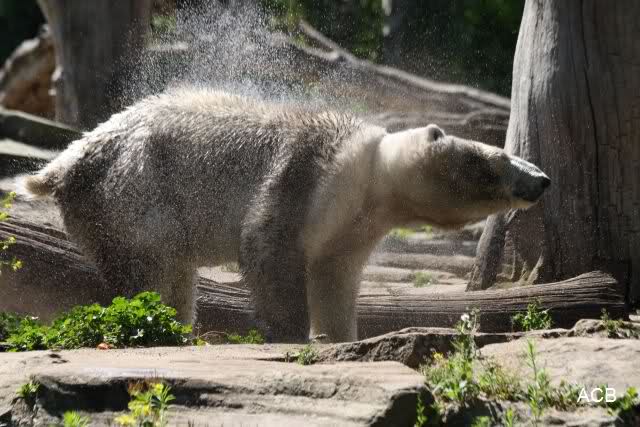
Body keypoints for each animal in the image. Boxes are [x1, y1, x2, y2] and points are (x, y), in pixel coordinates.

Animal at [21, 88, 550, 343]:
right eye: (498, 158)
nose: (542, 179)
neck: (368, 169)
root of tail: (64, 162)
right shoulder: (309, 171)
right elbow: (267, 246)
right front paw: (293, 331)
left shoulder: (353, 224)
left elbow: (335, 273)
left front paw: (338, 335)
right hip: (132, 189)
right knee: (155, 262)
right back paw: (162, 326)